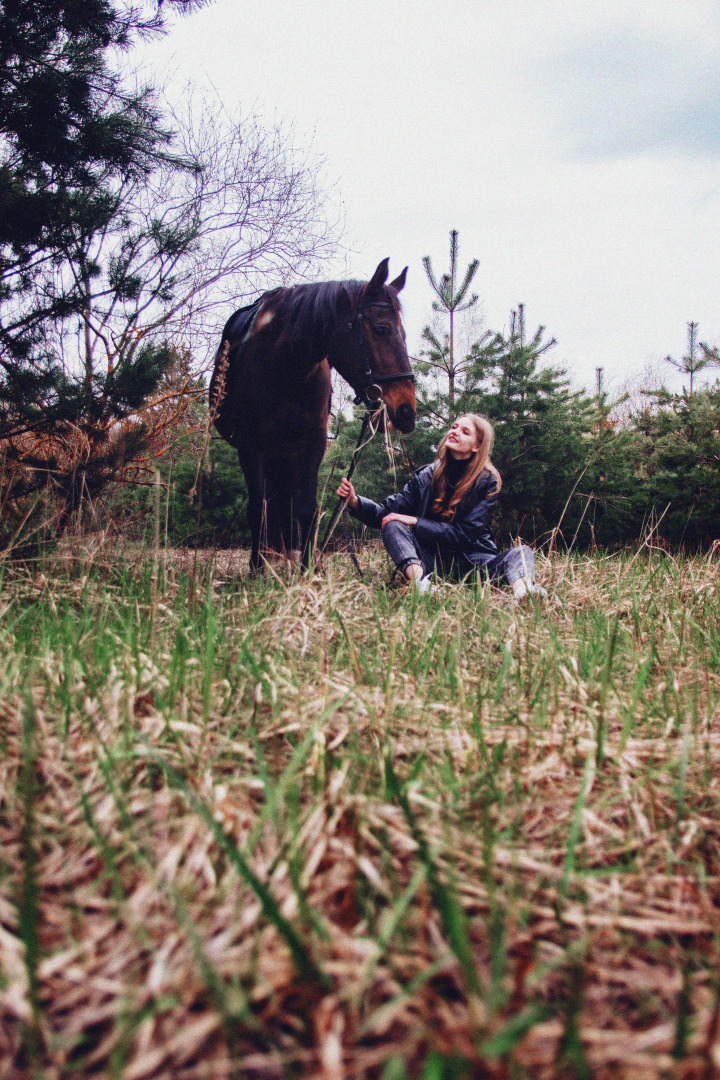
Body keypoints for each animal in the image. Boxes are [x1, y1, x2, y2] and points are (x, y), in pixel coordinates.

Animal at [208, 257, 416, 570]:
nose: (406, 410)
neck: (285, 364)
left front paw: (308, 570)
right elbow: (258, 509)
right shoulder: (250, 446)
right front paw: (257, 568)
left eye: (403, 334)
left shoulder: (312, 442)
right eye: (381, 329)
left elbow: (305, 507)